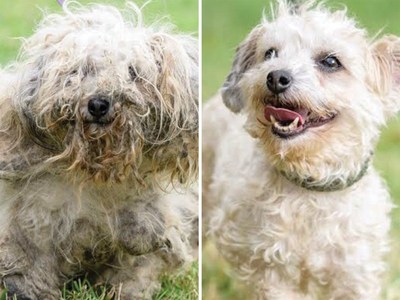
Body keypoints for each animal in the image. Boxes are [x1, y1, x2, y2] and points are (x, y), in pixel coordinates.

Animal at [0, 1, 198, 298]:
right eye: (81, 71)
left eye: (133, 73)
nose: (98, 104)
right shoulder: (32, 222)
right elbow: (27, 266)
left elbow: (143, 245)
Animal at [203, 0, 400, 298]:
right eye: (270, 53)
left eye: (331, 62)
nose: (275, 77)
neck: (310, 184)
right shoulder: (271, 271)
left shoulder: (356, 274)